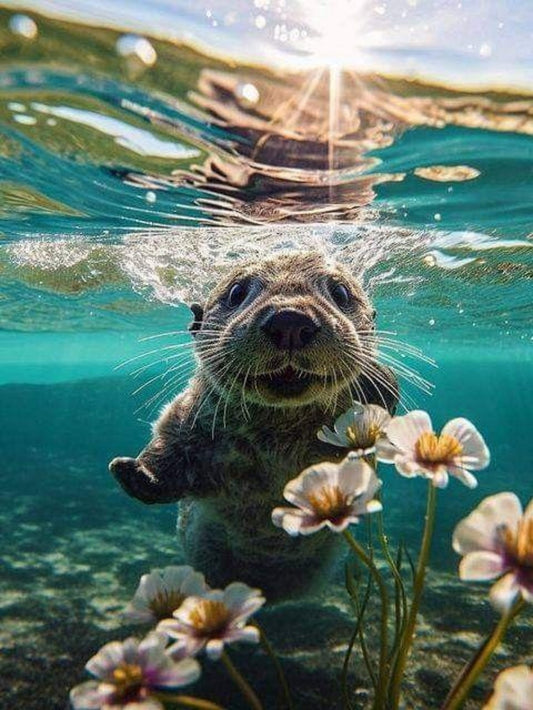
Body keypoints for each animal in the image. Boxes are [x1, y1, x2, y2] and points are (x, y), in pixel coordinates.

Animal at [110, 251, 397, 599]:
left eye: (340, 293)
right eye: (237, 292)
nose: (290, 320)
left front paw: (378, 379)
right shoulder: (188, 415)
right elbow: (168, 445)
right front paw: (135, 472)